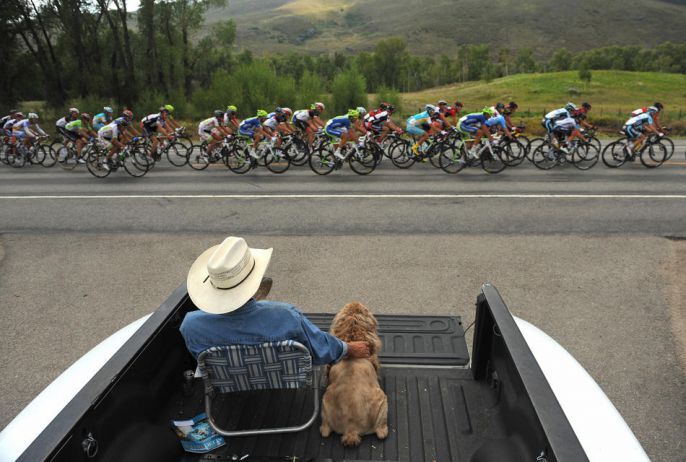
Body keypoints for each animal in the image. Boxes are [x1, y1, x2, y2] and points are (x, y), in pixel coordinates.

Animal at [320, 302, 390, 446]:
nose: (355, 302)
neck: (353, 338)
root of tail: (351, 429)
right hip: (383, 401)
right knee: (381, 433)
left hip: (324, 403)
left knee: (324, 431)